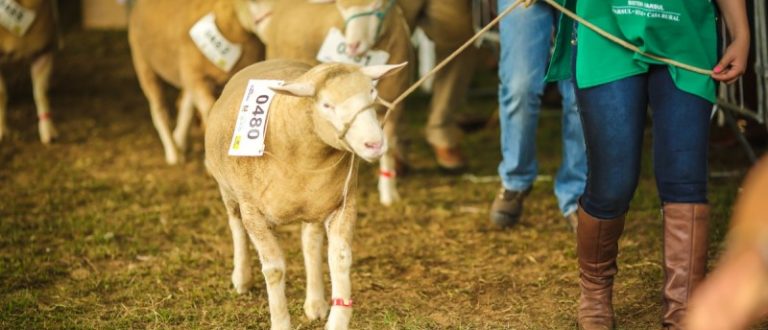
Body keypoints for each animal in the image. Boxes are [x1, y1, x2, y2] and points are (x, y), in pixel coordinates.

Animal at [127, 0, 268, 164]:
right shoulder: (195, 76)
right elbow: (209, 110)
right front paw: (210, 160)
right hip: (144, 64)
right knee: (159, 111)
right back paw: (172, 153)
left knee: (185, 106)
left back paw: (179, 142)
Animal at [204, 59, 408, 330]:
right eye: (326, 105)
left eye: (373, 94)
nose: (375, 144)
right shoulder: (253, 211)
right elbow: (274, 269)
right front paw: (280, 323)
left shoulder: (343, 203)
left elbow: (339, 259)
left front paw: (336, 321)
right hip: (228, 191)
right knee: (235, 225)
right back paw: (242, 278)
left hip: (314, 204)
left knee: (310, 243)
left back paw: (315, 303)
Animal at [255, 0, 414, 206]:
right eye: (341, 9)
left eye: (377, 6)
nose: (352, 46)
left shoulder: (395, 104)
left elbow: (389, 148)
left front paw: (388, 193)